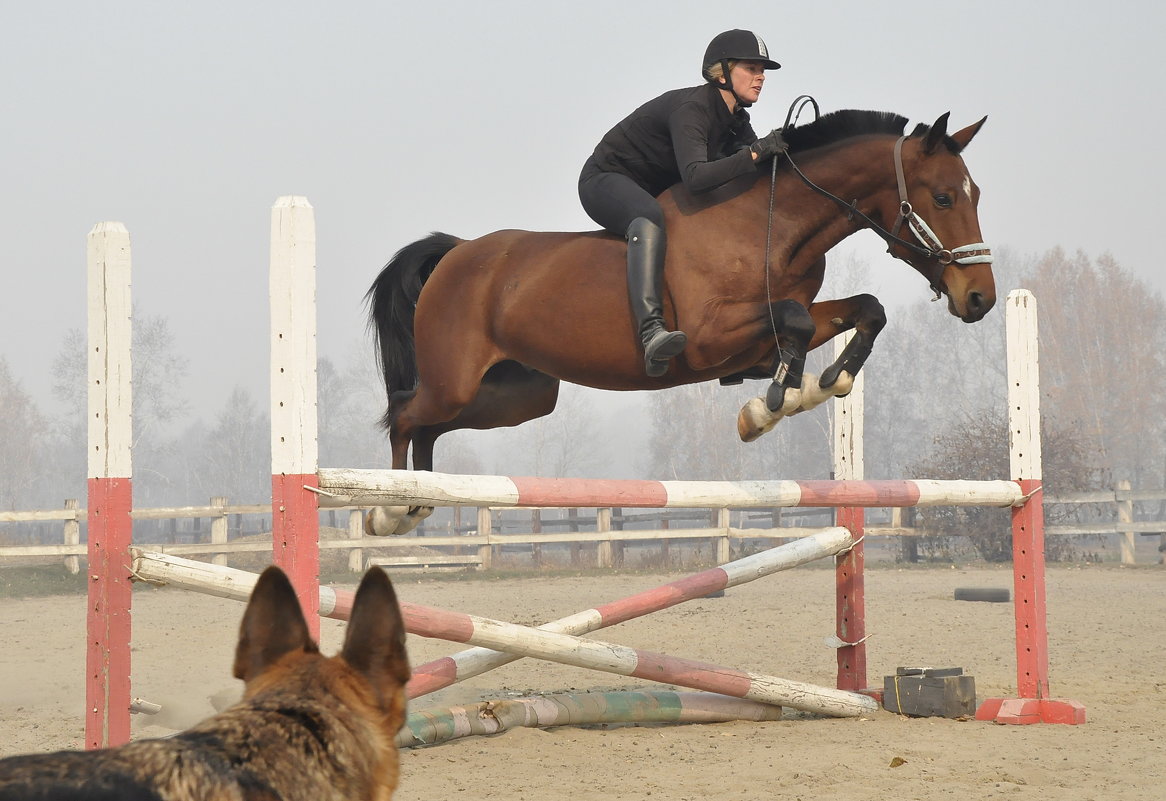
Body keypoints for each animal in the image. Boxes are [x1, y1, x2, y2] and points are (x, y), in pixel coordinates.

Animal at [363, 107, 993, 531]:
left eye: (976, 194)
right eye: (941, 198)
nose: (981, 299)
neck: (773, 223)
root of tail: (457, 253)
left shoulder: (757, 335)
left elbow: (863, 310)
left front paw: (821, 384)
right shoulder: (708, 339)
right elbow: (795, 321)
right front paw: (773, 403)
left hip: (521, 395)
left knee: (428, 425)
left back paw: (418, 498)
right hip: (457, 382)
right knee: (405, 414)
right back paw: (387, 513)